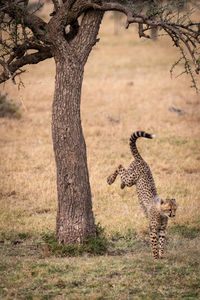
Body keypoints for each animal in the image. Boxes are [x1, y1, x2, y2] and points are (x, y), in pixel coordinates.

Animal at [107, 130, 177, 258]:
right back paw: (110, 180)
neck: (161, 212)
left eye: (175, 209)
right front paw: (155, 256)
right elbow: (154, 243)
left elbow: (162, 242)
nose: (173, 215)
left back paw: (120, 185)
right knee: (119, 165)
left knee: (123, 172)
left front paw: (161, 255)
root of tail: (142, 160)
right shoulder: (153, 229)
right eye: (169, 209)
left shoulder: (162, 230)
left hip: (131, 178)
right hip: (131, 179)